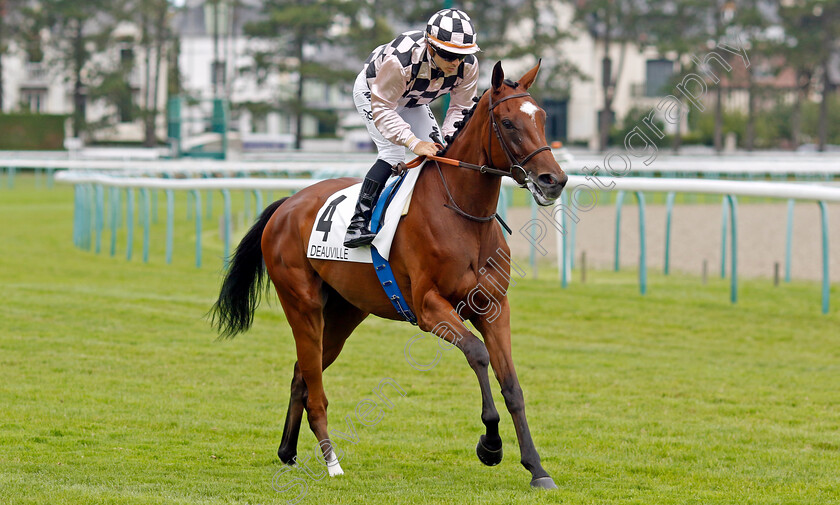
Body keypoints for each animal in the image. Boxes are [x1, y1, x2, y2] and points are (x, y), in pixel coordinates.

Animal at [210, 60, 568, 488]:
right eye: (509, 122)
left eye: (543, 117)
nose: (554, 180)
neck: (462, 215)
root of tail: (287, 204)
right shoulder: (429, 308)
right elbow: (477, 354)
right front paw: (490, 445)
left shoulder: (494, 307)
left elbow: (512, 384)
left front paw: (537, 468)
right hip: (302, 304)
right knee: (315, 386)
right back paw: (331, 461)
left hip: (345, 312)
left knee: (302, 372)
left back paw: (288, 451)